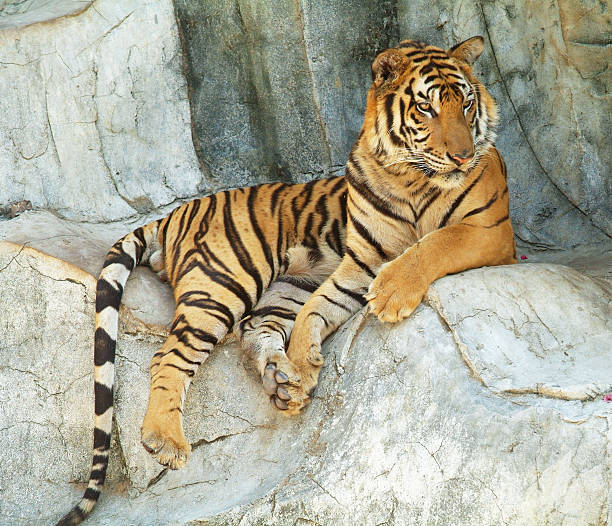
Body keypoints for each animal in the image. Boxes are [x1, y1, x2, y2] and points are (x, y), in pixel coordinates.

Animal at [57, 35, 516, 524]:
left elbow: (434, 244)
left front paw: (336, 335)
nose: (462, 156)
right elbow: (393, 265)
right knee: (171, 355)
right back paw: (167, 440)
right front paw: (317, 352)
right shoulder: (366, 259)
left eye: (466, 104)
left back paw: (283, 381)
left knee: (255, 330)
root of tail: (174, 213)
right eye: (427, 108)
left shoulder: (487, 230)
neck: (410, 177)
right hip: (224, 283)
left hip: (285, 286)